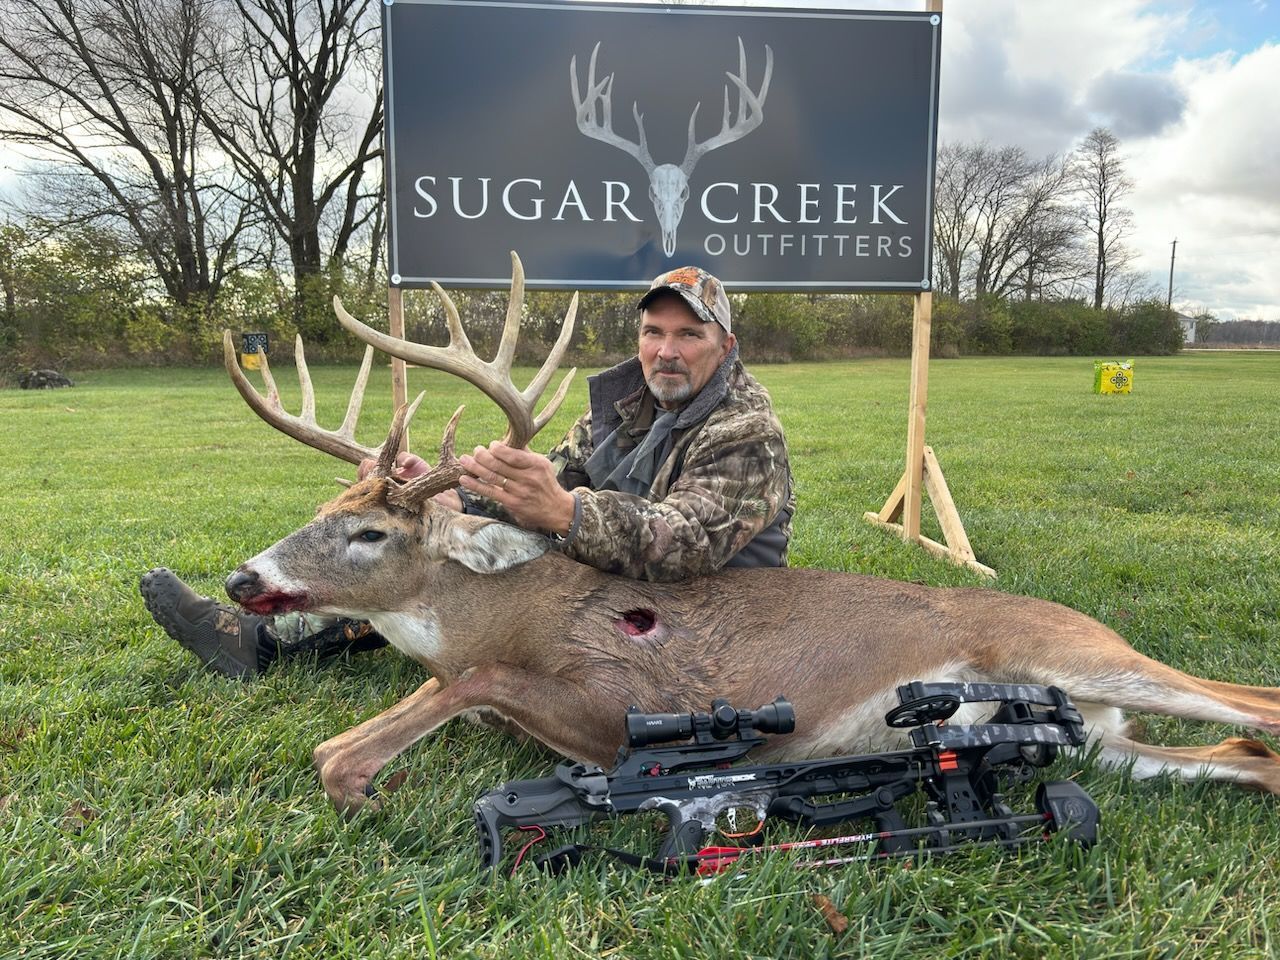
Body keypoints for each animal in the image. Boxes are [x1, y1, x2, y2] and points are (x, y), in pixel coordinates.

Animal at [221, 253, 1280, 817]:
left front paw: (375, 783)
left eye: (367, 533)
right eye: (320, 514)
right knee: (1238, 754)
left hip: (1074, 650)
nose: (241, 577)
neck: (505, 607)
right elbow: (369, 730)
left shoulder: (617, 700)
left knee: (1254, 703)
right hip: (1097, 737)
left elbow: (435, 704)